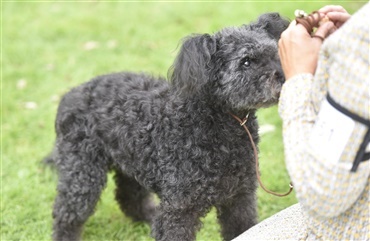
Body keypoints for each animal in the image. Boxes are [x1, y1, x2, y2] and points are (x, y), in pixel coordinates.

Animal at [47, 12, 288, 240]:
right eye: (246, 61)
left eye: (275, 53)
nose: (283, 76)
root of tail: (69, 95)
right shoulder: (180, 208)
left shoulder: (239, 197)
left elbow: (241, 227)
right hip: (82, 171)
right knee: (66, 213)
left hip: (130, 162)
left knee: (129, 197)